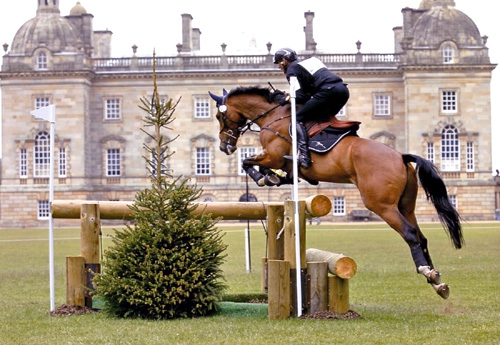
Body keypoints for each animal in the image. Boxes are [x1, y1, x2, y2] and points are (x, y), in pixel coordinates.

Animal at [209, 84, 462, 296]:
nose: (224, 147)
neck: (273, 116)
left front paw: (262, 178)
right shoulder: (282, 163)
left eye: (220, 116)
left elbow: (247, 162)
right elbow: (268, 170)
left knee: (409, 234)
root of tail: (400, 156)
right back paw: (436, 280)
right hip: (405, 205)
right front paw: (271, 178)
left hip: (381, 205)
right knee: (421, 236)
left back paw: (427, 272)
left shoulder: (273, 155)